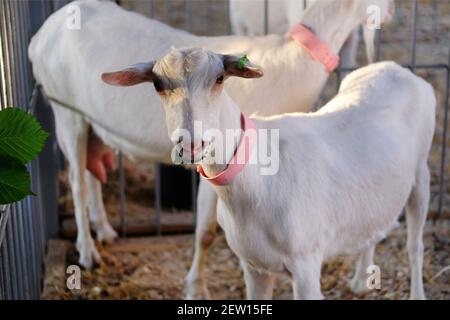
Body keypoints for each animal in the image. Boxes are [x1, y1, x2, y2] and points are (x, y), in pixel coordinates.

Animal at [103, 48, 436, 300]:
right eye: (157, 85)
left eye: (220, 78)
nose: (191, 144)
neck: (258, 179)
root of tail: (396, 68)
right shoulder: (254, 266)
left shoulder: (306, 264)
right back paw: (360, 282)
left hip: (422, 173)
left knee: (415, 245)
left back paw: (417, 292)